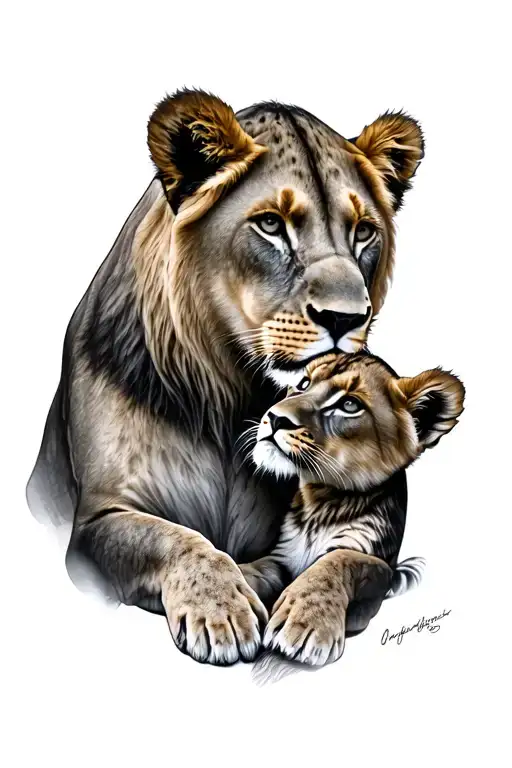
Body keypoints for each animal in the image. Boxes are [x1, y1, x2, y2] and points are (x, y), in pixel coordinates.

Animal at [27, 89, 424, 665]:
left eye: (364, 231)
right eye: (271, 225)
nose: (347, 318)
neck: (228, 393)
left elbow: (338, 560)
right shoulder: (96, 520)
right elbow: (174, 539)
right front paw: (222, 612)